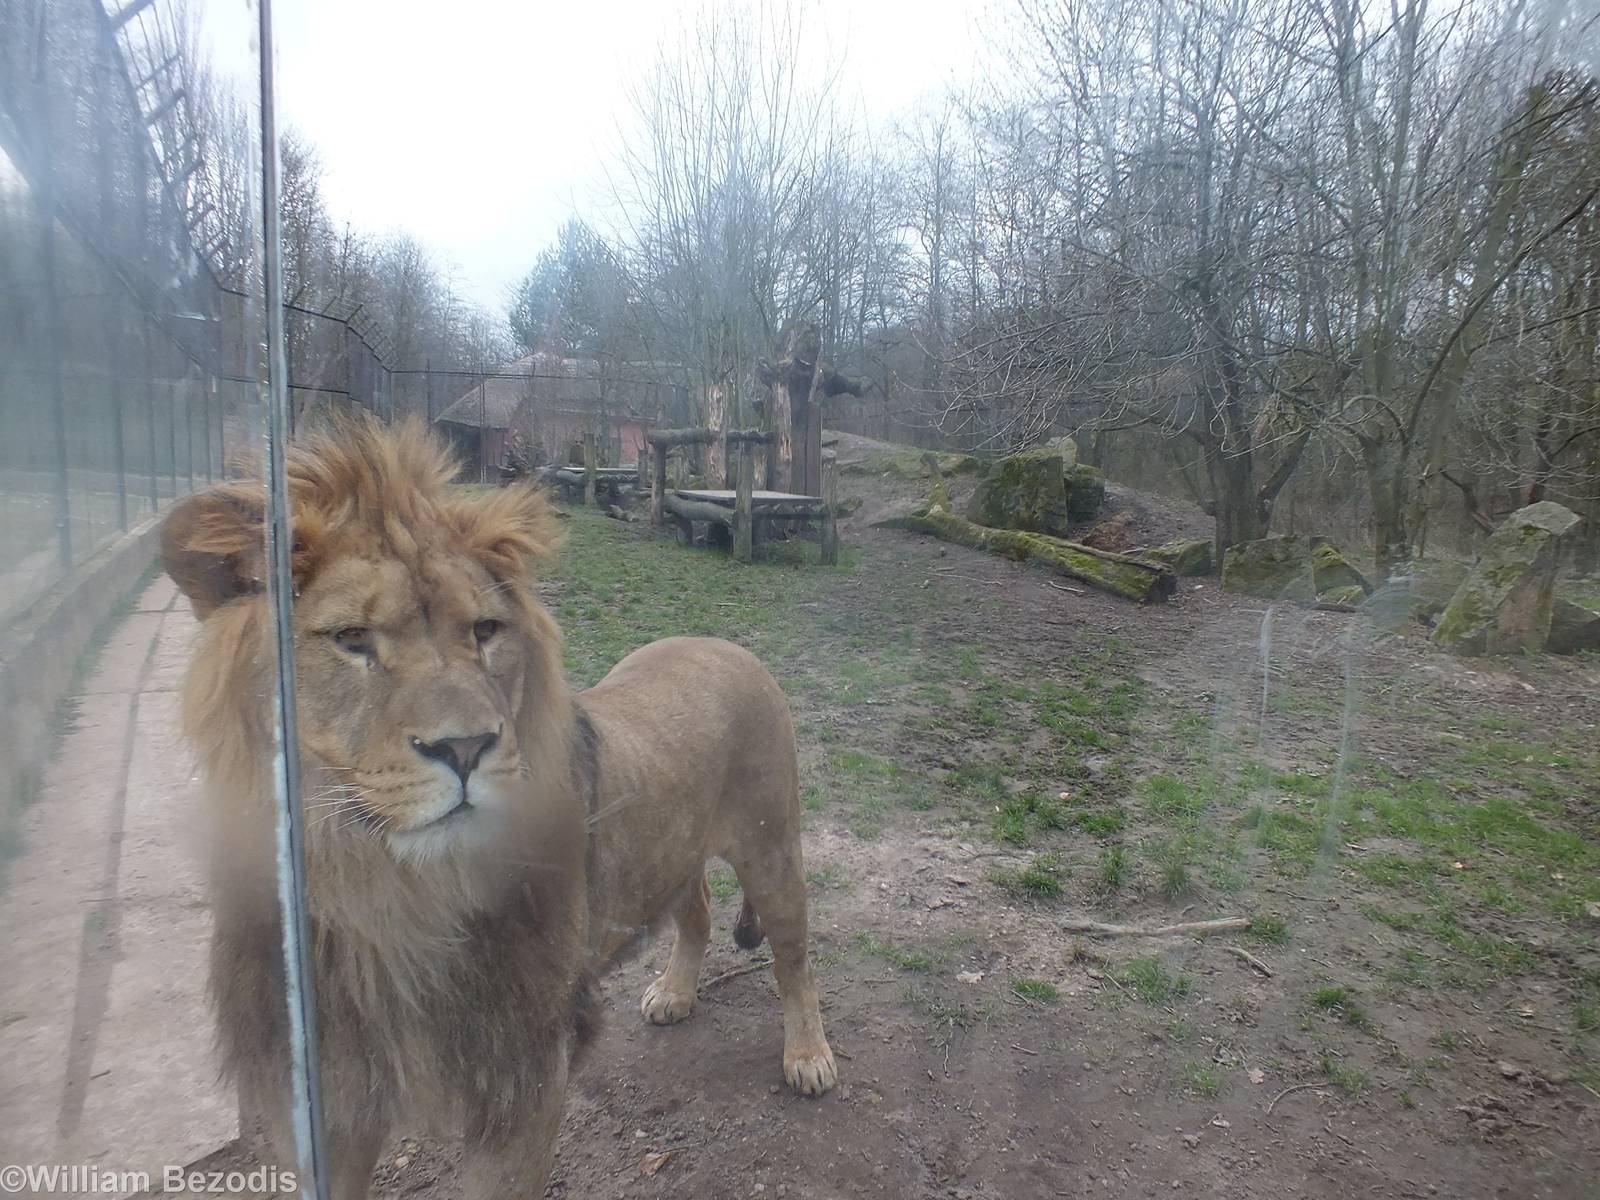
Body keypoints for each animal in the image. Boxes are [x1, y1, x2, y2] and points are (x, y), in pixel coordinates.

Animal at [161, 417, 836, 1197]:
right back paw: (673, 992)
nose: (465, 747)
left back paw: (809, 1056)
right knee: (694, 908)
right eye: (353, 640)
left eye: (485, 631)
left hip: (772, 847)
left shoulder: (523, 1071)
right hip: (675, 847)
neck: (383, 899)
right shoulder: (329, 1099)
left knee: (795, 957)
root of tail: (726, 644)